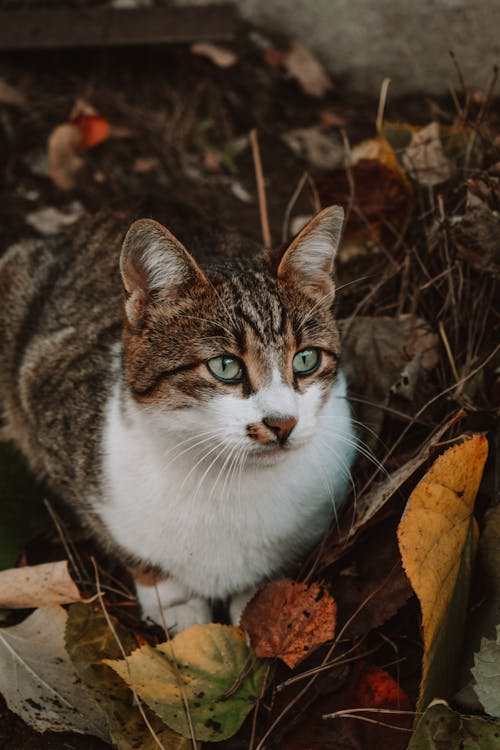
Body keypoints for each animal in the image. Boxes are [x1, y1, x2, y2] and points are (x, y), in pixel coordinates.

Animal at [0, 206, 356, 636]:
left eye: (306, 359)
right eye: (225, 366)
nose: (282, 423)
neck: (227, 481)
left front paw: (257, 602)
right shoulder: (56, 431)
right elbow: (124, 543)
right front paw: (173, 597)